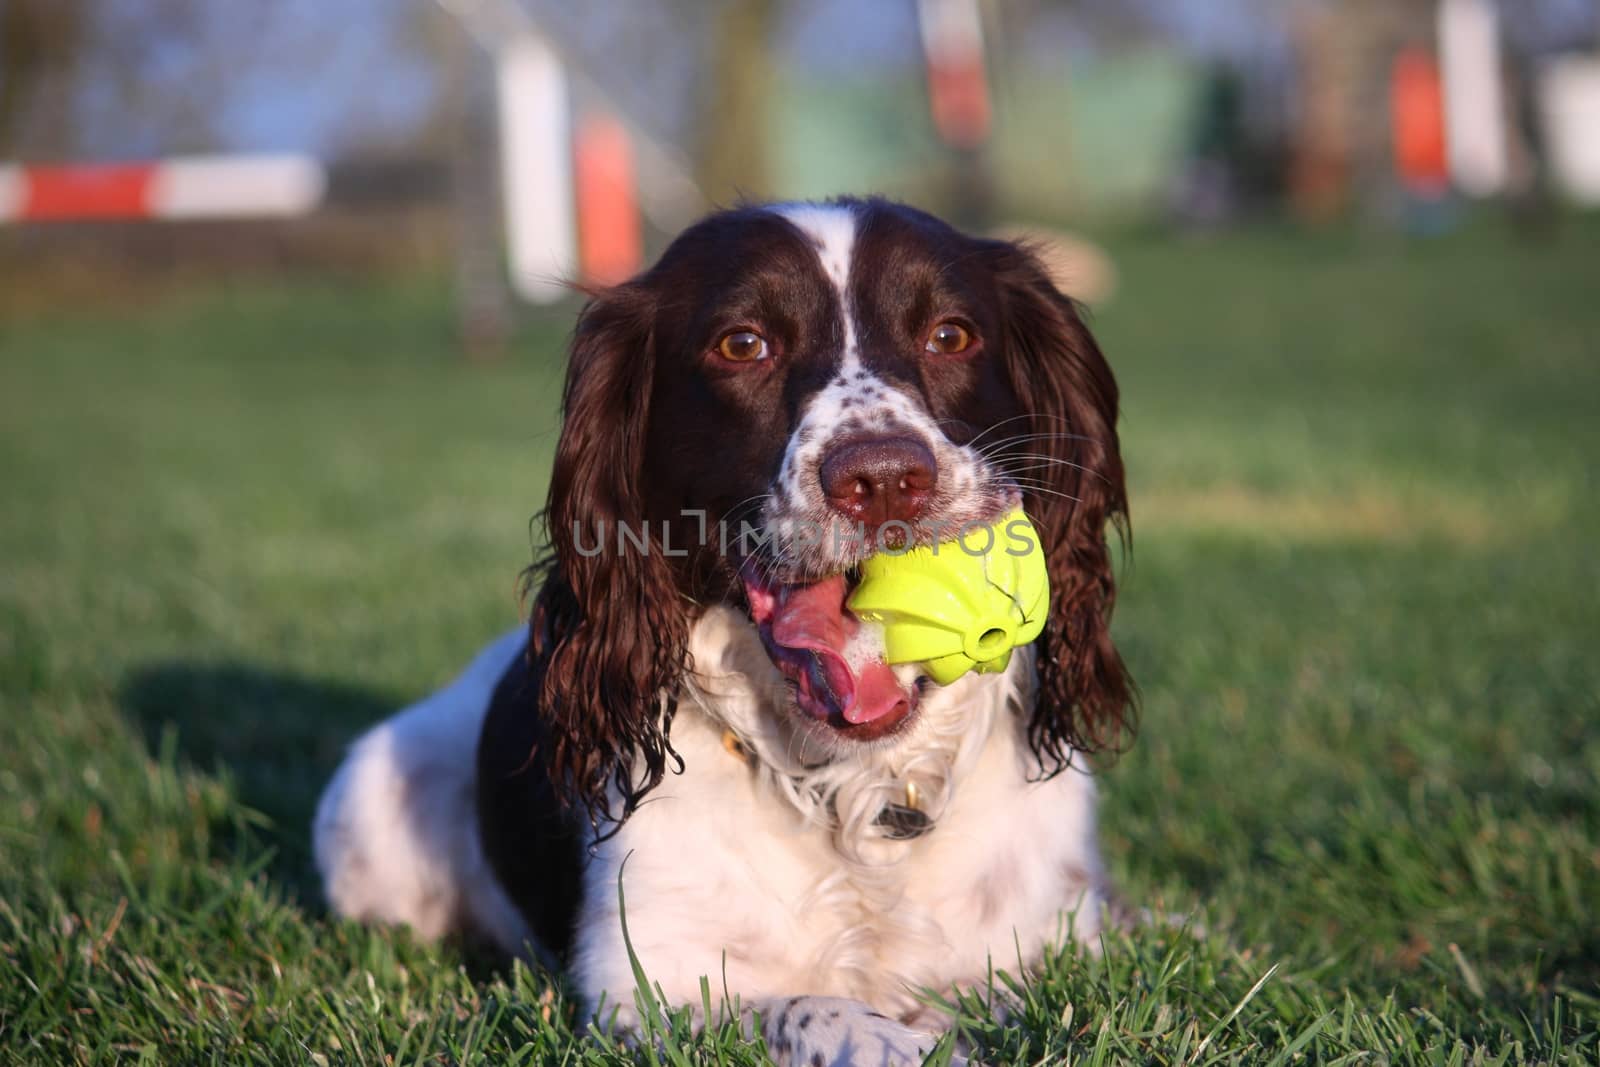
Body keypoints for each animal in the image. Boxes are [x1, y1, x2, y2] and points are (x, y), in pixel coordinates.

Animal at [315, 195, 1139, 1062]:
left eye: (950, 334)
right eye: (743, 344)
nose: (883, 477)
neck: (859, 796)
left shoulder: (1050, 940)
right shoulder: (644, 992)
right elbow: (815, 1010)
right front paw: (912, 1040)